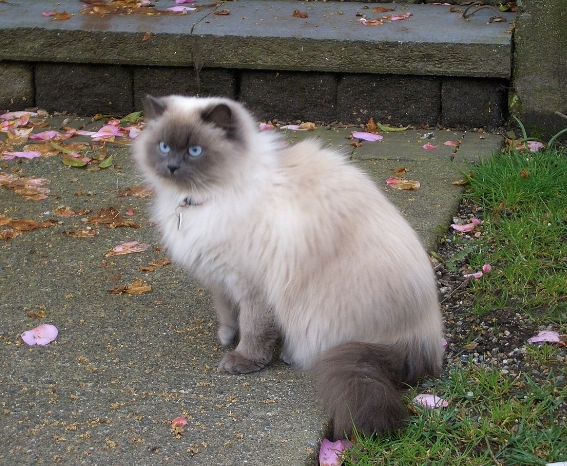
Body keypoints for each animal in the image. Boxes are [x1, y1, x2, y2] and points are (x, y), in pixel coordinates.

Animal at [133, 95, 444, 440]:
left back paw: (289, 354)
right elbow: (227, 312)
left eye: (195, 151)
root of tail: (424, 339)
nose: (172, 166)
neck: (203, 200)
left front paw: (242, 359)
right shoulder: (220, 278)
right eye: (163, 147)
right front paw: (227, 336)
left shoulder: (253, 284)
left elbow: (254, 328)